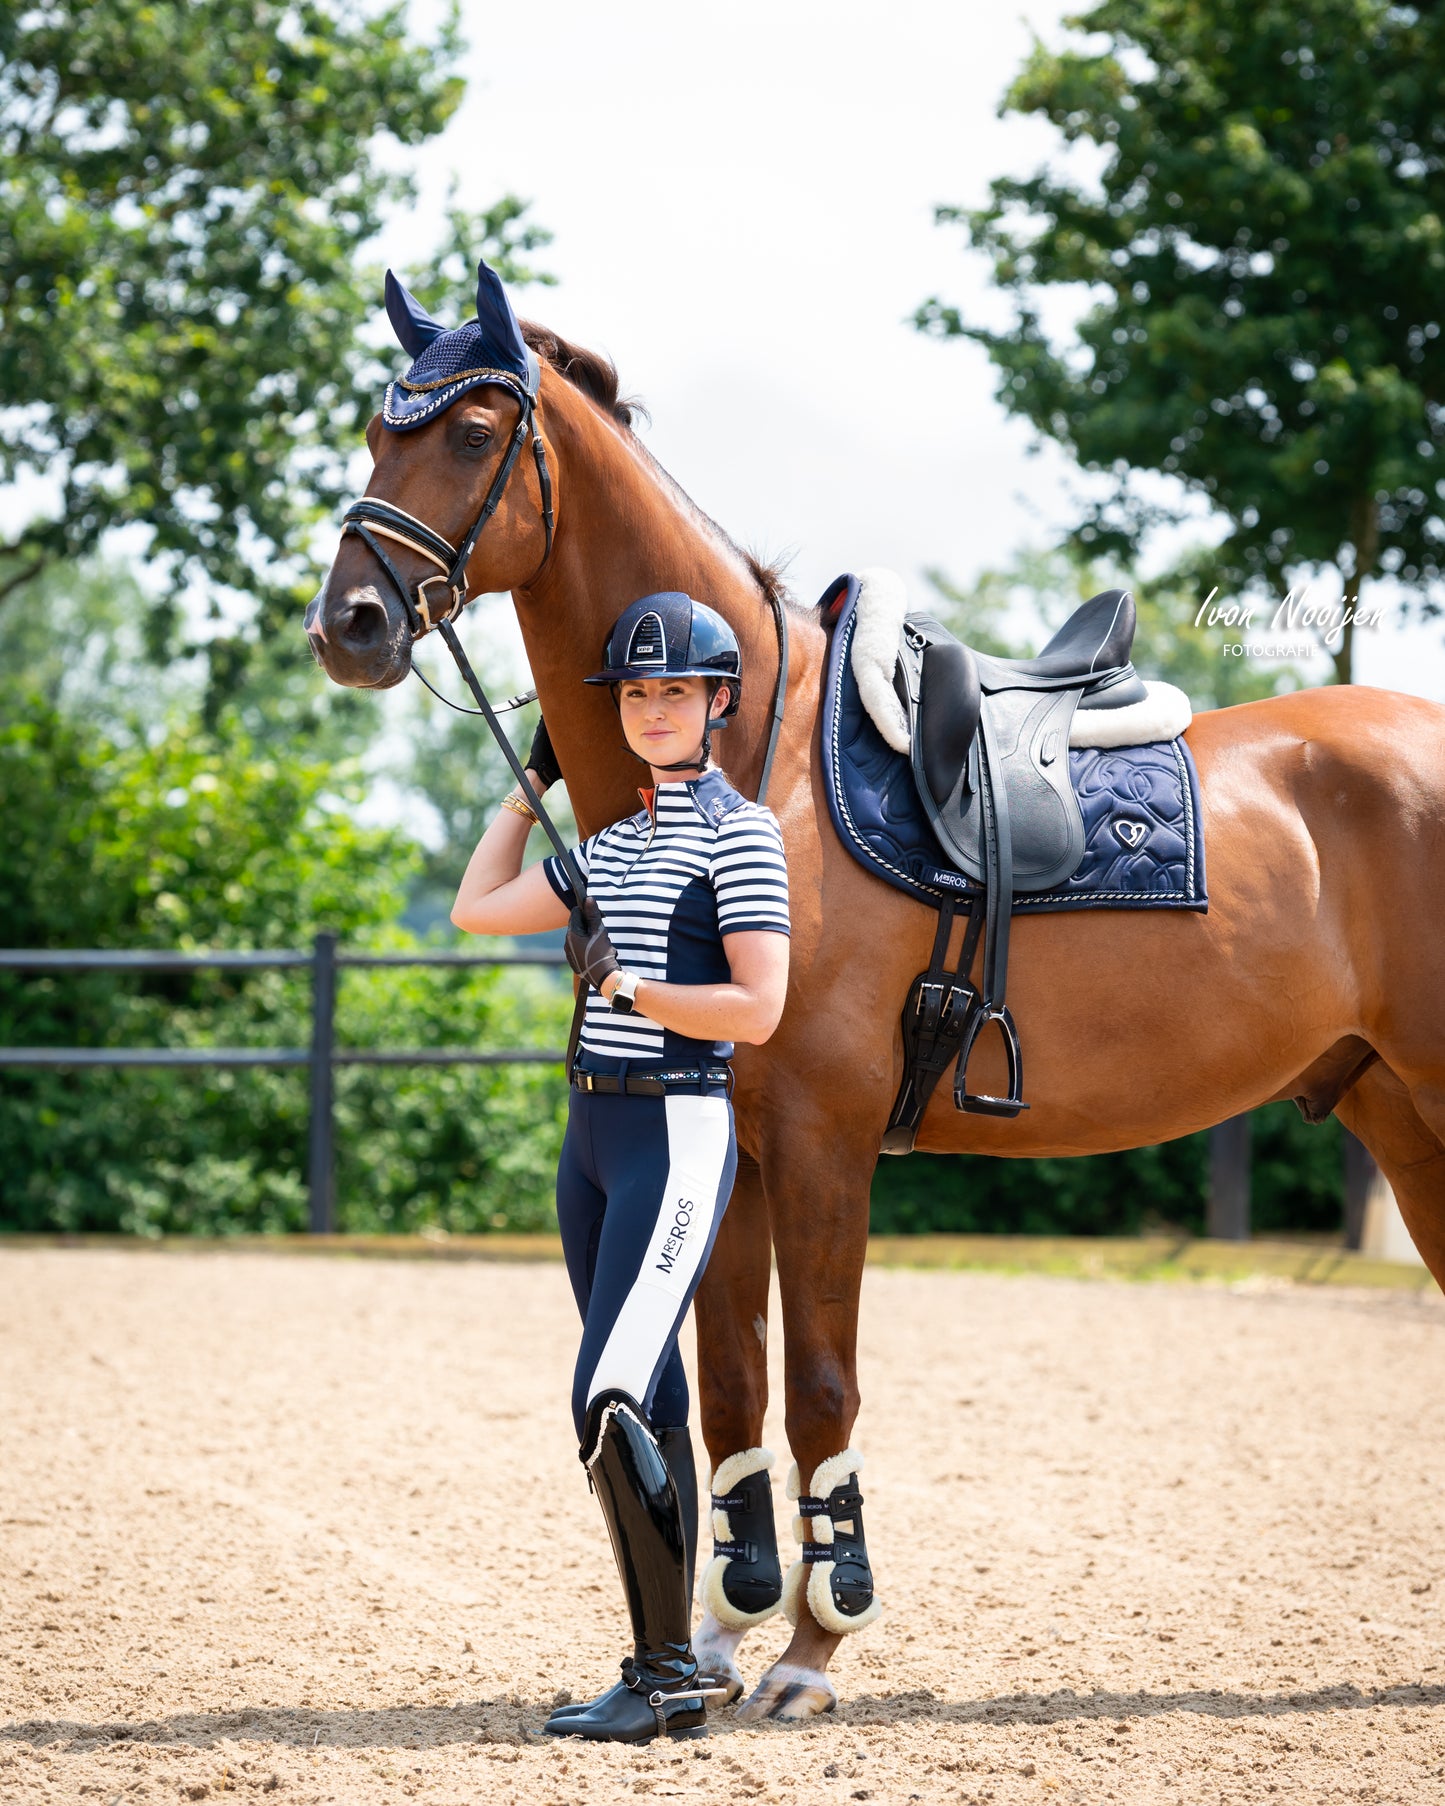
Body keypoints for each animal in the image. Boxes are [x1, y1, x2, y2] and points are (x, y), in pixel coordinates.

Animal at [305, 285, 1445, 1719]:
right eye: (374, 430)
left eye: (466, 432)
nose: (346, 623)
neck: (755, 760)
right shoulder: (727, 1144)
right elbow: (728, 1389)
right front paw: (723, 1632)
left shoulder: (822, 1141)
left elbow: (817, 1390)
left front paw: (813, 1643)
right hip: (1395, 1108)